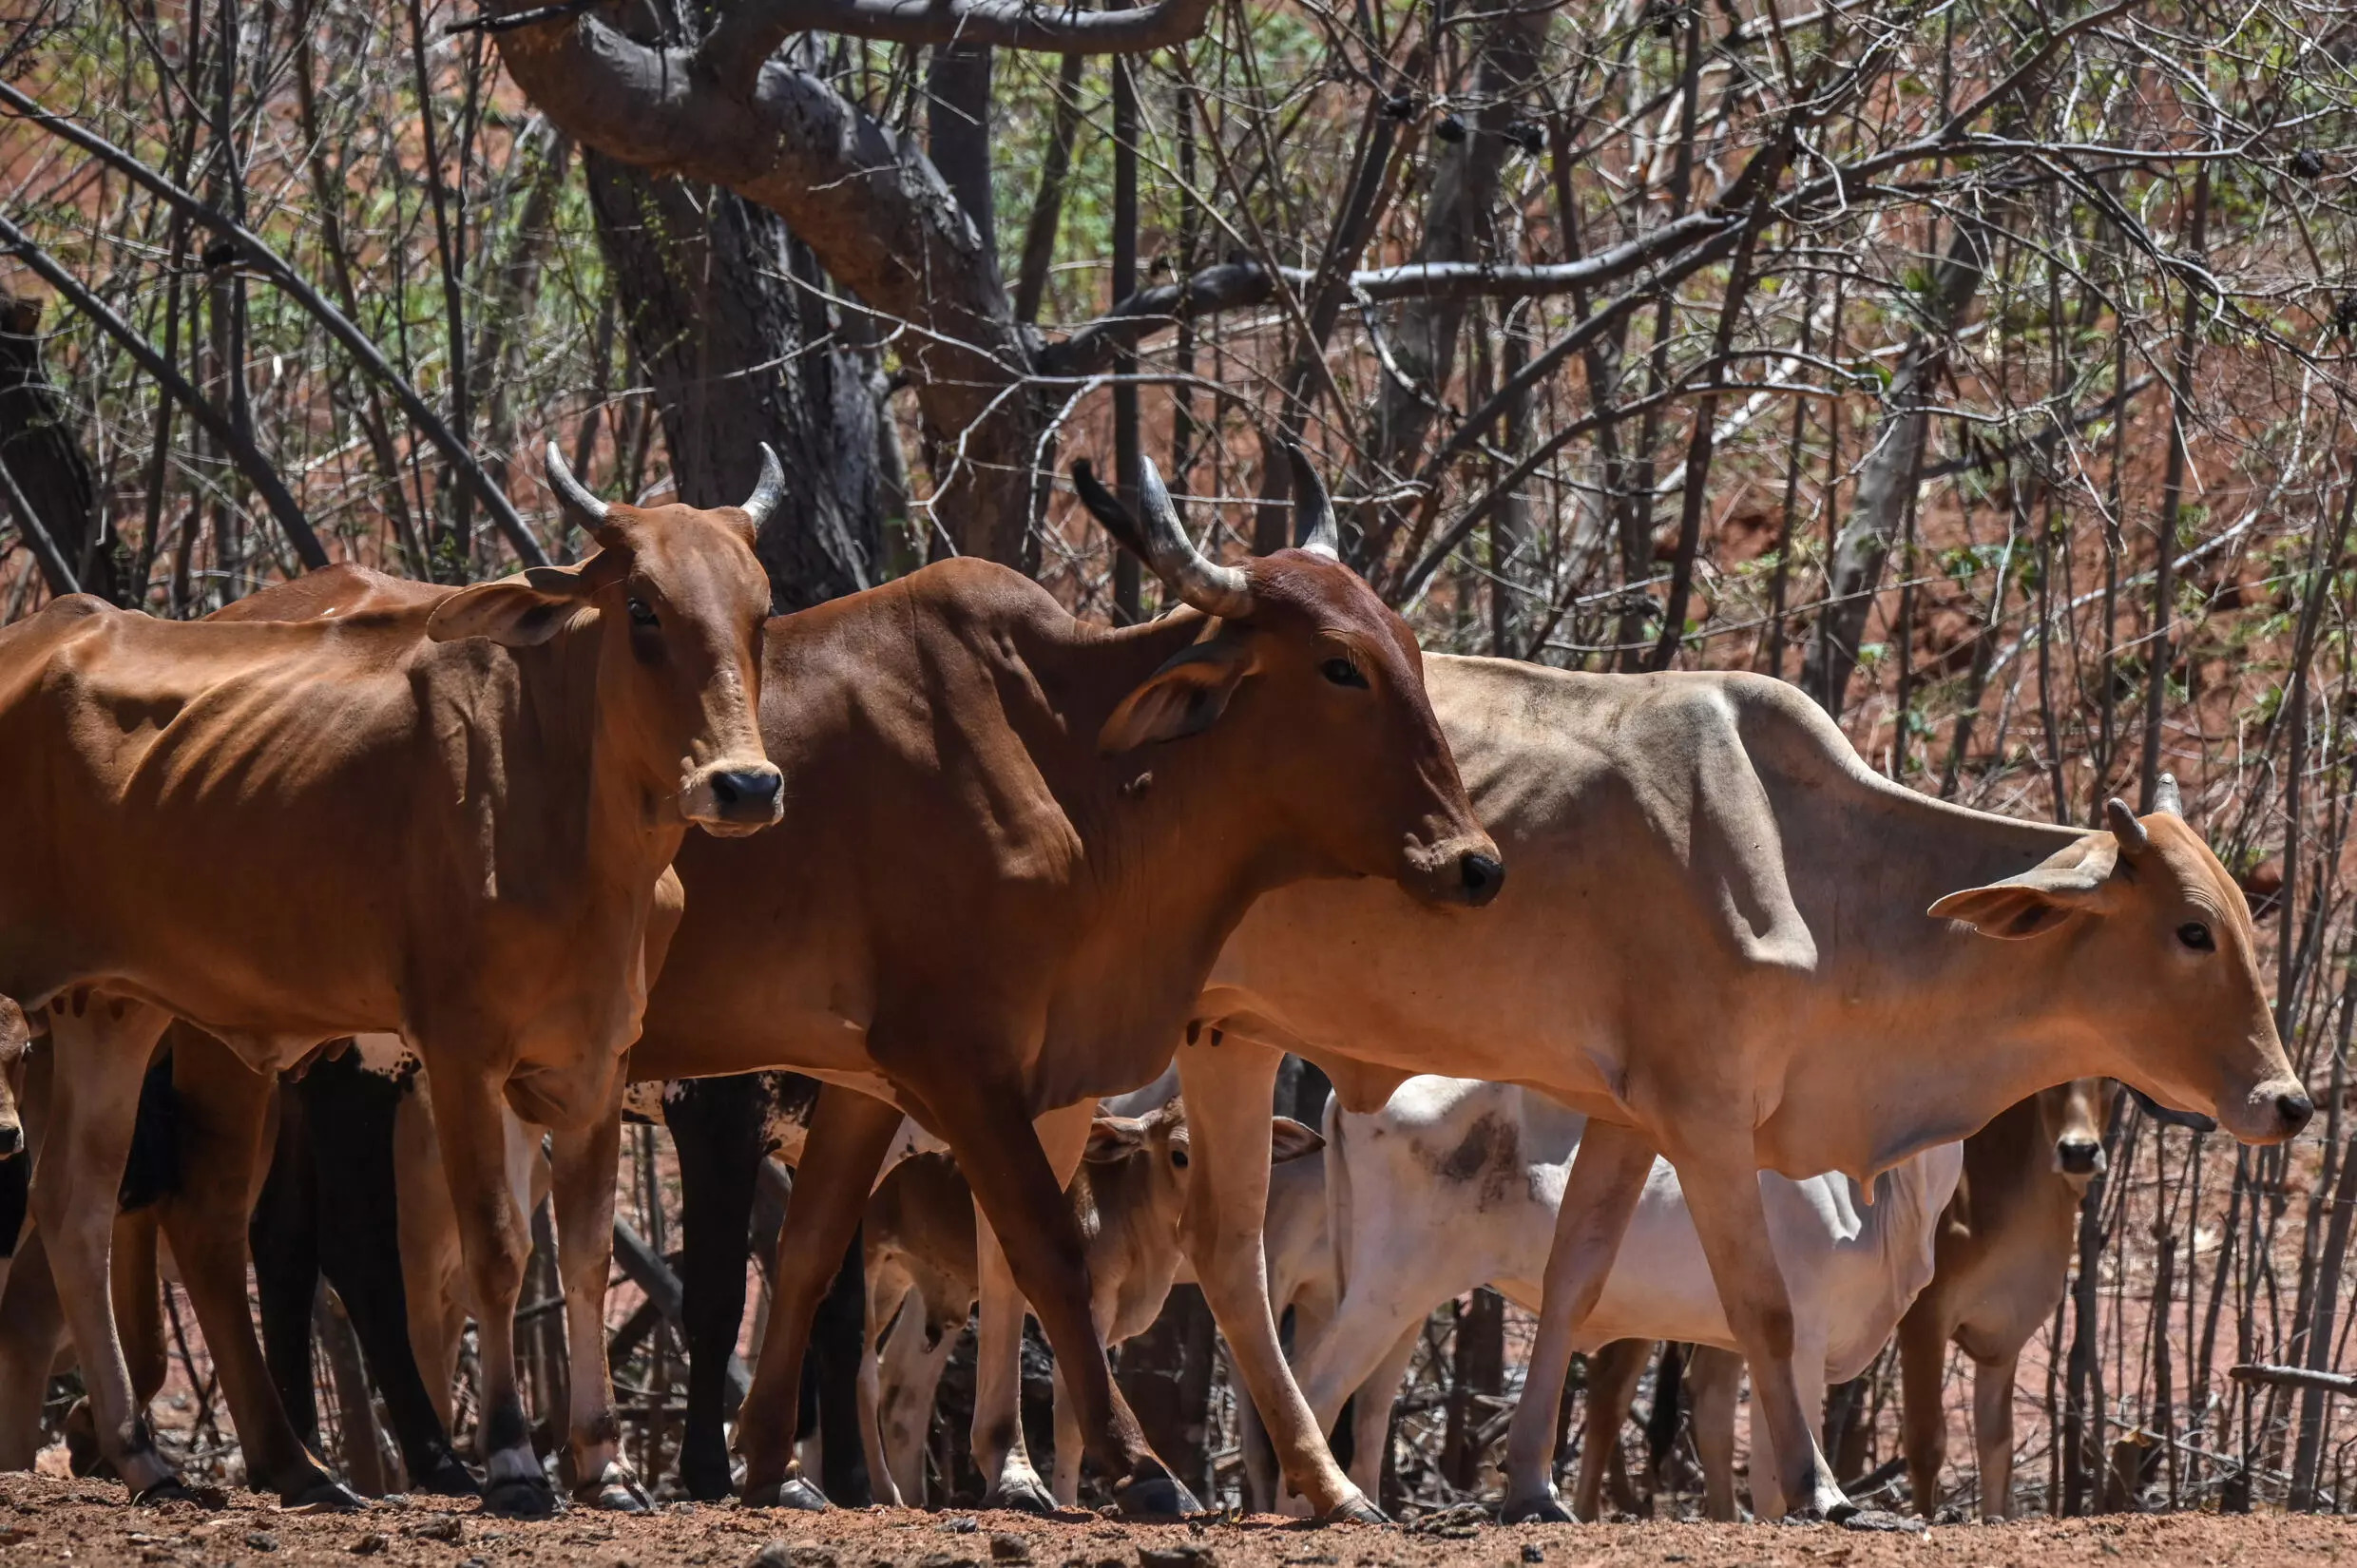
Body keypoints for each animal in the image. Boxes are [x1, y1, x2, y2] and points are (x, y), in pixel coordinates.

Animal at [0, 443, 782, 1518]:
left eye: (760, 611)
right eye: (643, 608)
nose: (745, 786)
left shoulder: (595, 1062)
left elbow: (581, 1252)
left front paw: (605, 1461)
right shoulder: (458, 1053)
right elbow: (497, 1246)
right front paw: (512, 1458)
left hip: (111, 1012)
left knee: (77, 1205)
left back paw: (159, 1458)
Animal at [626, 431, 1499, 1518]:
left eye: (1410, 652)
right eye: (1340, 665)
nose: (1473, 863)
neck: (1055, 753)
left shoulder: (866, 1081)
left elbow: (807, 1256)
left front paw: (771, 1464)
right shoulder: (953, 1064)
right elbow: (1047, 1248)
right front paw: (1138, 1467)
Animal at [1169, 660, 2309, 1518]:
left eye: (2236, 921)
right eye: (2191, 930)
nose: (2288, 1102)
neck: (1814, 868)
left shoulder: (1627, 1116)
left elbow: (1577, 1280)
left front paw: (1533, 1490)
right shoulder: (1707, 1116)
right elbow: (1761, 1313)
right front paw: (1820, 1489)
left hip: (1230, 1038)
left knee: (1228, 1256)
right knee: (1304, 1352)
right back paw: (1313, 1496)